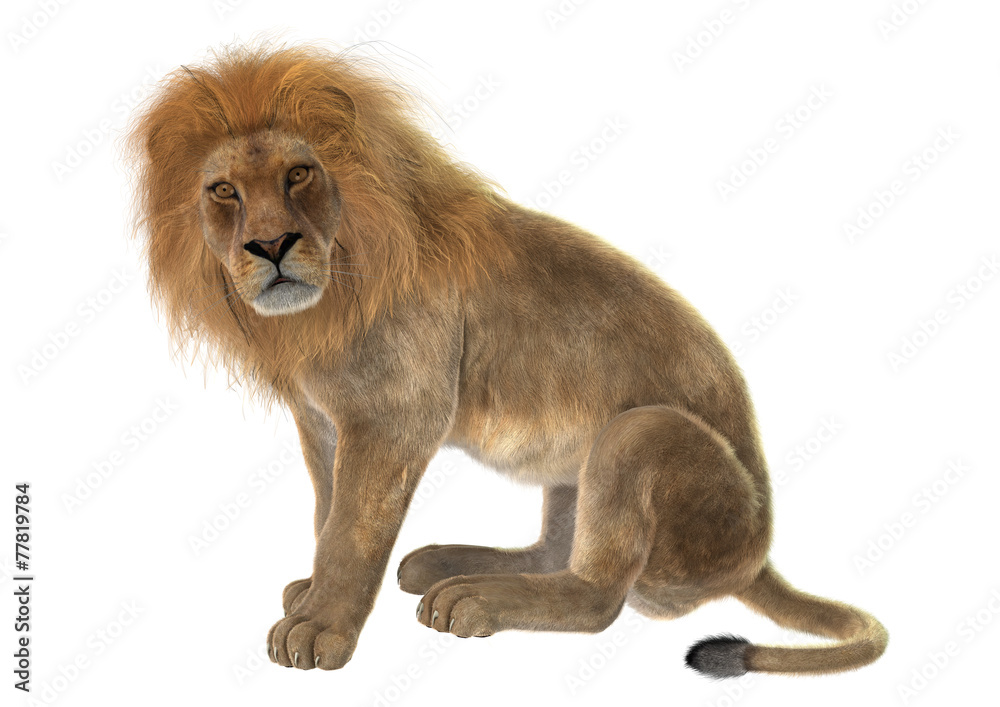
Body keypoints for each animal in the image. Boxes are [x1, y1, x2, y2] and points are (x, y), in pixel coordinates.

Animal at [125, 42, 888, 676]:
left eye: (299, 173)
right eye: (224, 190)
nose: (271, 246)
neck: (335, 289)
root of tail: (758, 556)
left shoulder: (395, 419)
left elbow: (352, 530)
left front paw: (321, 628)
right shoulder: (321, 421)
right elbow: (327, 512)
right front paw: (312, 592)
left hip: (640, 433)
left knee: (598, 595)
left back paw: (473, 598)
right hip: (581, 466)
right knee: (555, 548)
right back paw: (445, 565)